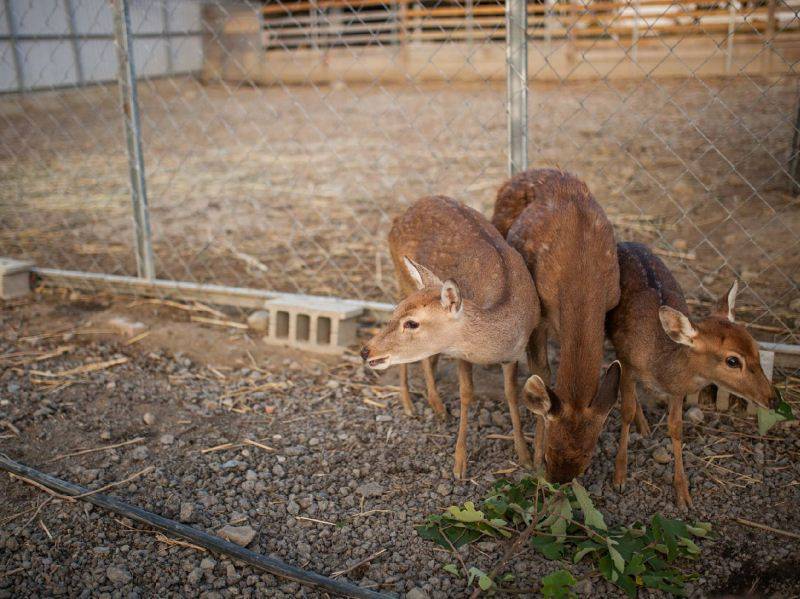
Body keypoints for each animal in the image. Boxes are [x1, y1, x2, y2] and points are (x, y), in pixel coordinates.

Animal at [364, 196, 544, 478]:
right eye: (397, 314)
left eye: (412, 322)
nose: (366, 350)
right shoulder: (463, 355)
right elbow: (466, 393)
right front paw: (459, 465)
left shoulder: (514, 354)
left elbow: (512, 393)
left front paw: (525, 457)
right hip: (401, 277)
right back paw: (413, 404)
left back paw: (435, 403)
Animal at [490, 168, 620, 482]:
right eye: (550, 456)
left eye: (585, 461)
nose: (555, 482)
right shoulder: (540, 313)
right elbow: (542, 373)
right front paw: (533, 457)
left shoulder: (611, 304)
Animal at [608, 241, 780, 508]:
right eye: (732, 360)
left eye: (756, 347)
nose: (773, 399)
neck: (659, 364)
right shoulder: (627, 364)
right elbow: (625, 411)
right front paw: (619, 478)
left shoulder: (677, 390)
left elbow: (676, 427)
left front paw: (683, 494)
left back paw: (645, 427)